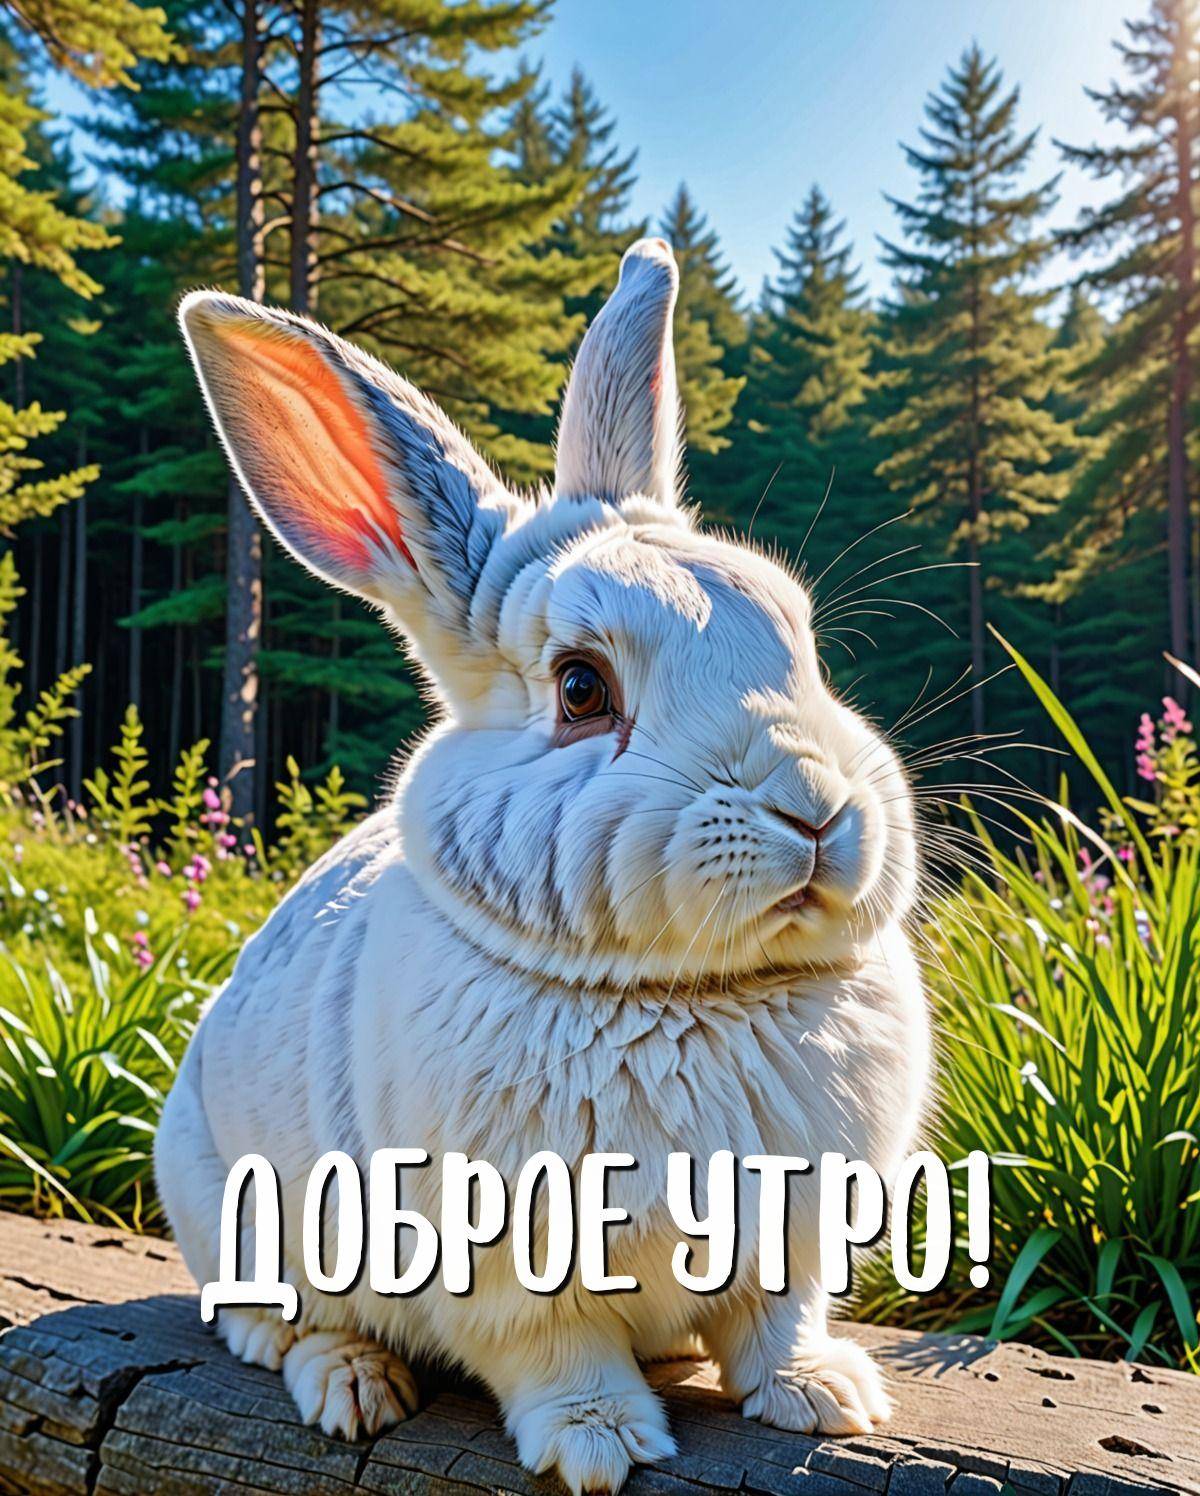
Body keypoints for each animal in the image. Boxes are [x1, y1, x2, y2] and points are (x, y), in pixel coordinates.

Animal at [156, 236, 930, 1496]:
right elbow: (556, 1352)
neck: (691, 993)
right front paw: (600, 1445)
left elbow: (777, 1320)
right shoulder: (508, 1270)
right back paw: (350, 1384)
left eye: (800, 639)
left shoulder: (794, 1235)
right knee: (275, 1321)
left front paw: (827, 1398)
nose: (817, 809)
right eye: (581, 687)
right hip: (236, 1207)